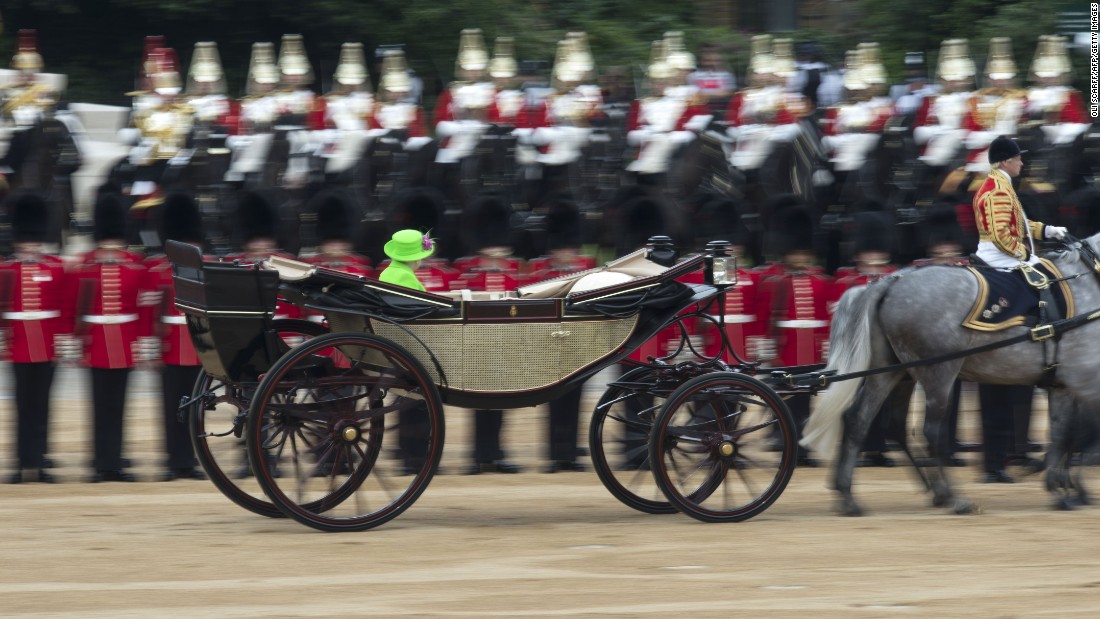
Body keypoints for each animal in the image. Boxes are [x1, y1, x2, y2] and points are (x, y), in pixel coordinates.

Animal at [800, 235, 1100, 516]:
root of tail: (891, 281)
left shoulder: (1063, 385)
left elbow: (1065, 432)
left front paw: (1063, 487)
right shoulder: (1083, 378)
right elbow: (1080, 433)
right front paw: (1068, 488)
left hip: (891, 372)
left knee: (860, 419)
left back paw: (849, 496)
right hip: (938, 373)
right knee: (930, 431)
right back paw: (953, 498)